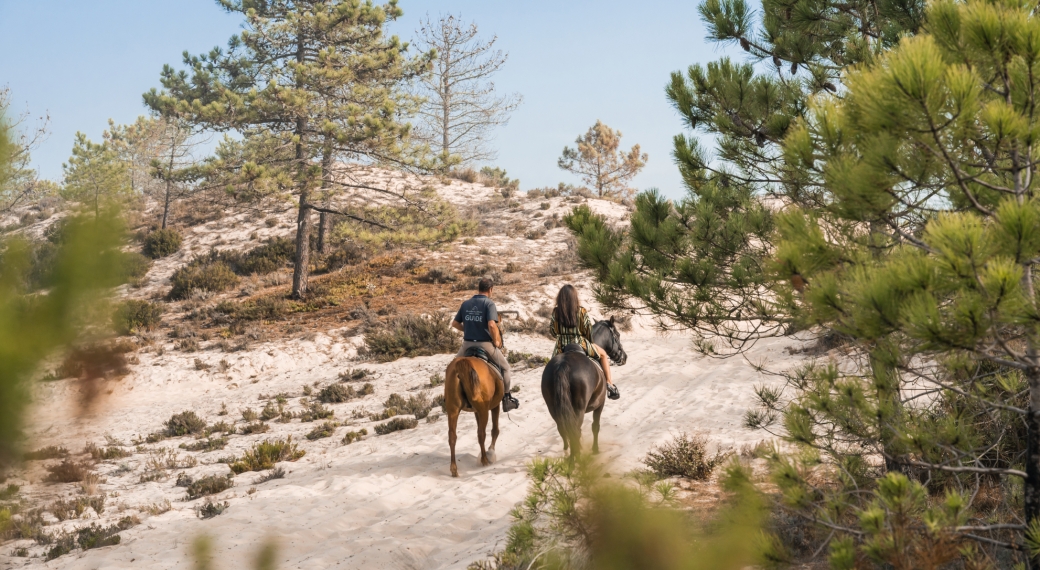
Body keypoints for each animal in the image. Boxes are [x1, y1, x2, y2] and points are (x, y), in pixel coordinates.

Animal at [544, 318, 624, 461]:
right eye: (618, 335)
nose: (624, 357)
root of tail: (563, 365)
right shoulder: (600, 405)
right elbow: (595, 427)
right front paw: (595, 450)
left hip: (553, 408)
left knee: (563, 428)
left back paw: (568, 452)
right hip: (578, 409)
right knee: (575, 430)